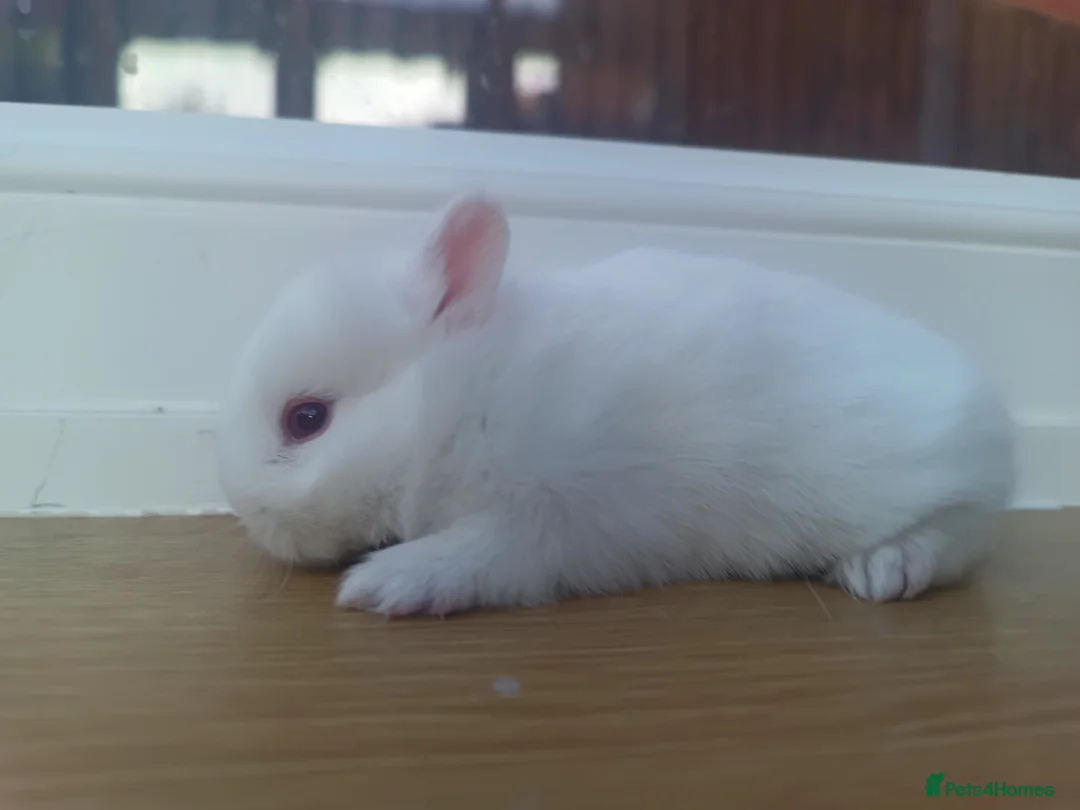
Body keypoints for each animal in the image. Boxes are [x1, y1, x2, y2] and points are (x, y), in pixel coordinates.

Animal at [216, 194, 1015, 617]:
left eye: (306, 419)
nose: (245, 513)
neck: (456, 402)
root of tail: (991, 412)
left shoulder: (545, 521)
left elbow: (475, 558)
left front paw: (381, 586)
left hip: (935, 486)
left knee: (956, 535)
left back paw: (882, 571)